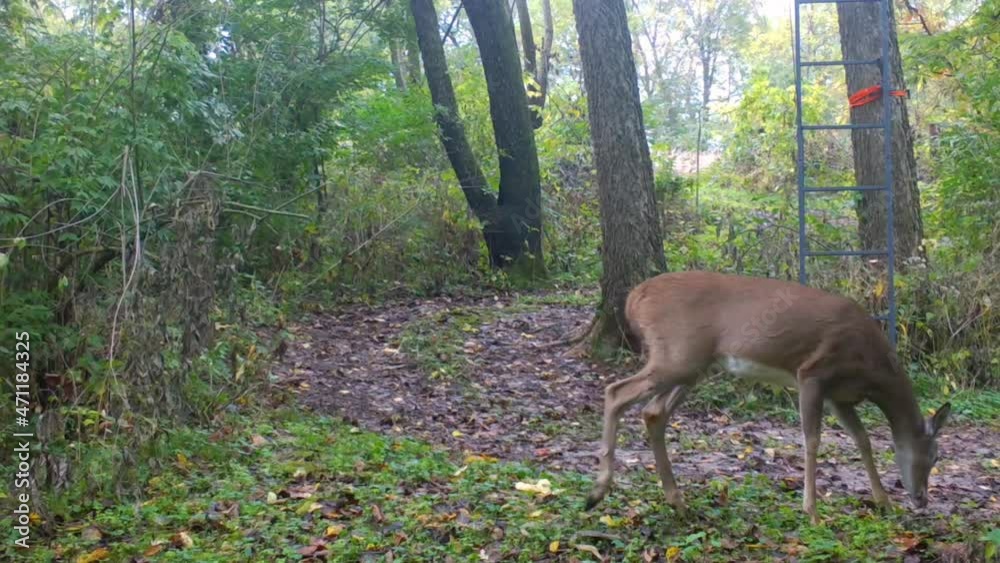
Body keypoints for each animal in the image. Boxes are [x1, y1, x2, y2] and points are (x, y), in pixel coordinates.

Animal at [584, 271, 951, 523]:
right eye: (934, 456)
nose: (922, 499)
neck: (874, 371)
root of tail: (635, 297)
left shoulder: (840, 397)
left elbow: (862, 439)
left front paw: (883, 502)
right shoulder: (813, 373)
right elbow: (812, 440)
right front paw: (812, 512)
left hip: (694, 366)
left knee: (653, 412)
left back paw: (677, 501)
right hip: (678, 354)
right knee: (616, 392)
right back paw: (597, 492)